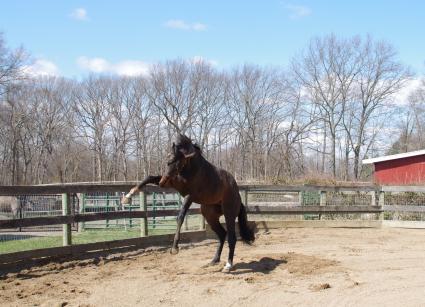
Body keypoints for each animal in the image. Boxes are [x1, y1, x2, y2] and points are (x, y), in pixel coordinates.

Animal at [122, 134, 255, 272]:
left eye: (177, 163)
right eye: (168, 161)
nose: (162, 183)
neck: (191, 168)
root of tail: (237, 195)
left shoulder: (189, 196)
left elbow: (180, 217)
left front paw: (175, 248)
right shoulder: (173, 183)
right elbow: (149, 177)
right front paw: (127, 197)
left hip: (229, 214)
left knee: (231, 238)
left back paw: (228, 265)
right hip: (210, 215)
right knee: (222, 234)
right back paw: (214, 260)